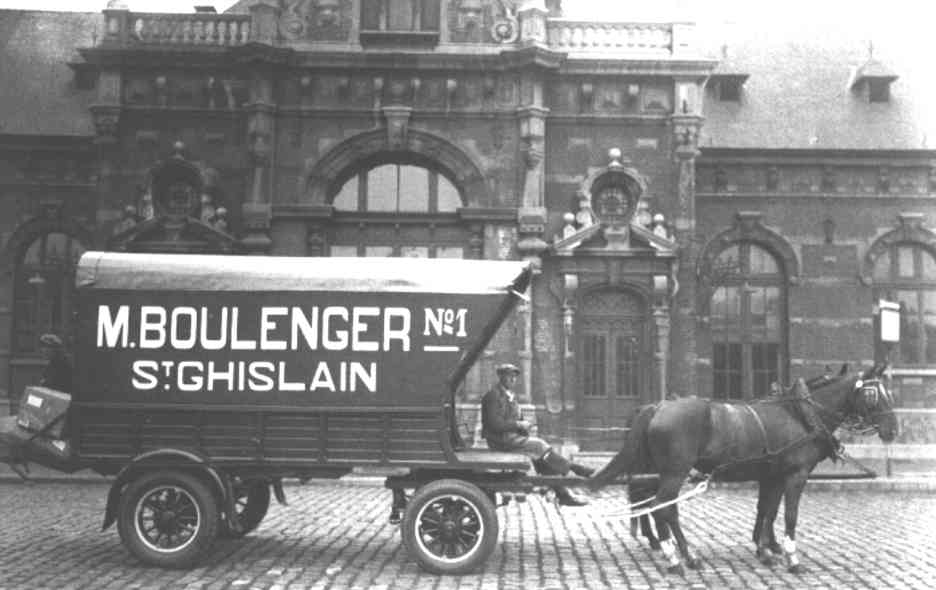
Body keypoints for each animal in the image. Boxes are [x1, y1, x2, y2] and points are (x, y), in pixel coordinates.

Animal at [584, 364, 900, 576]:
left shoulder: (772, 476)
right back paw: (674, 558)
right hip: (674, 472)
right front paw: (791, 558)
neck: (801, 415)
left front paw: (765, 551)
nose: (894, 430)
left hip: (660, 471)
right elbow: (789, 515)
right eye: (873, 394)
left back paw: (683, 554)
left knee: (658, 504)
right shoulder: (795, 476)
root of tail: (658, 407)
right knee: (661, 506)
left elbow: (767, 511)